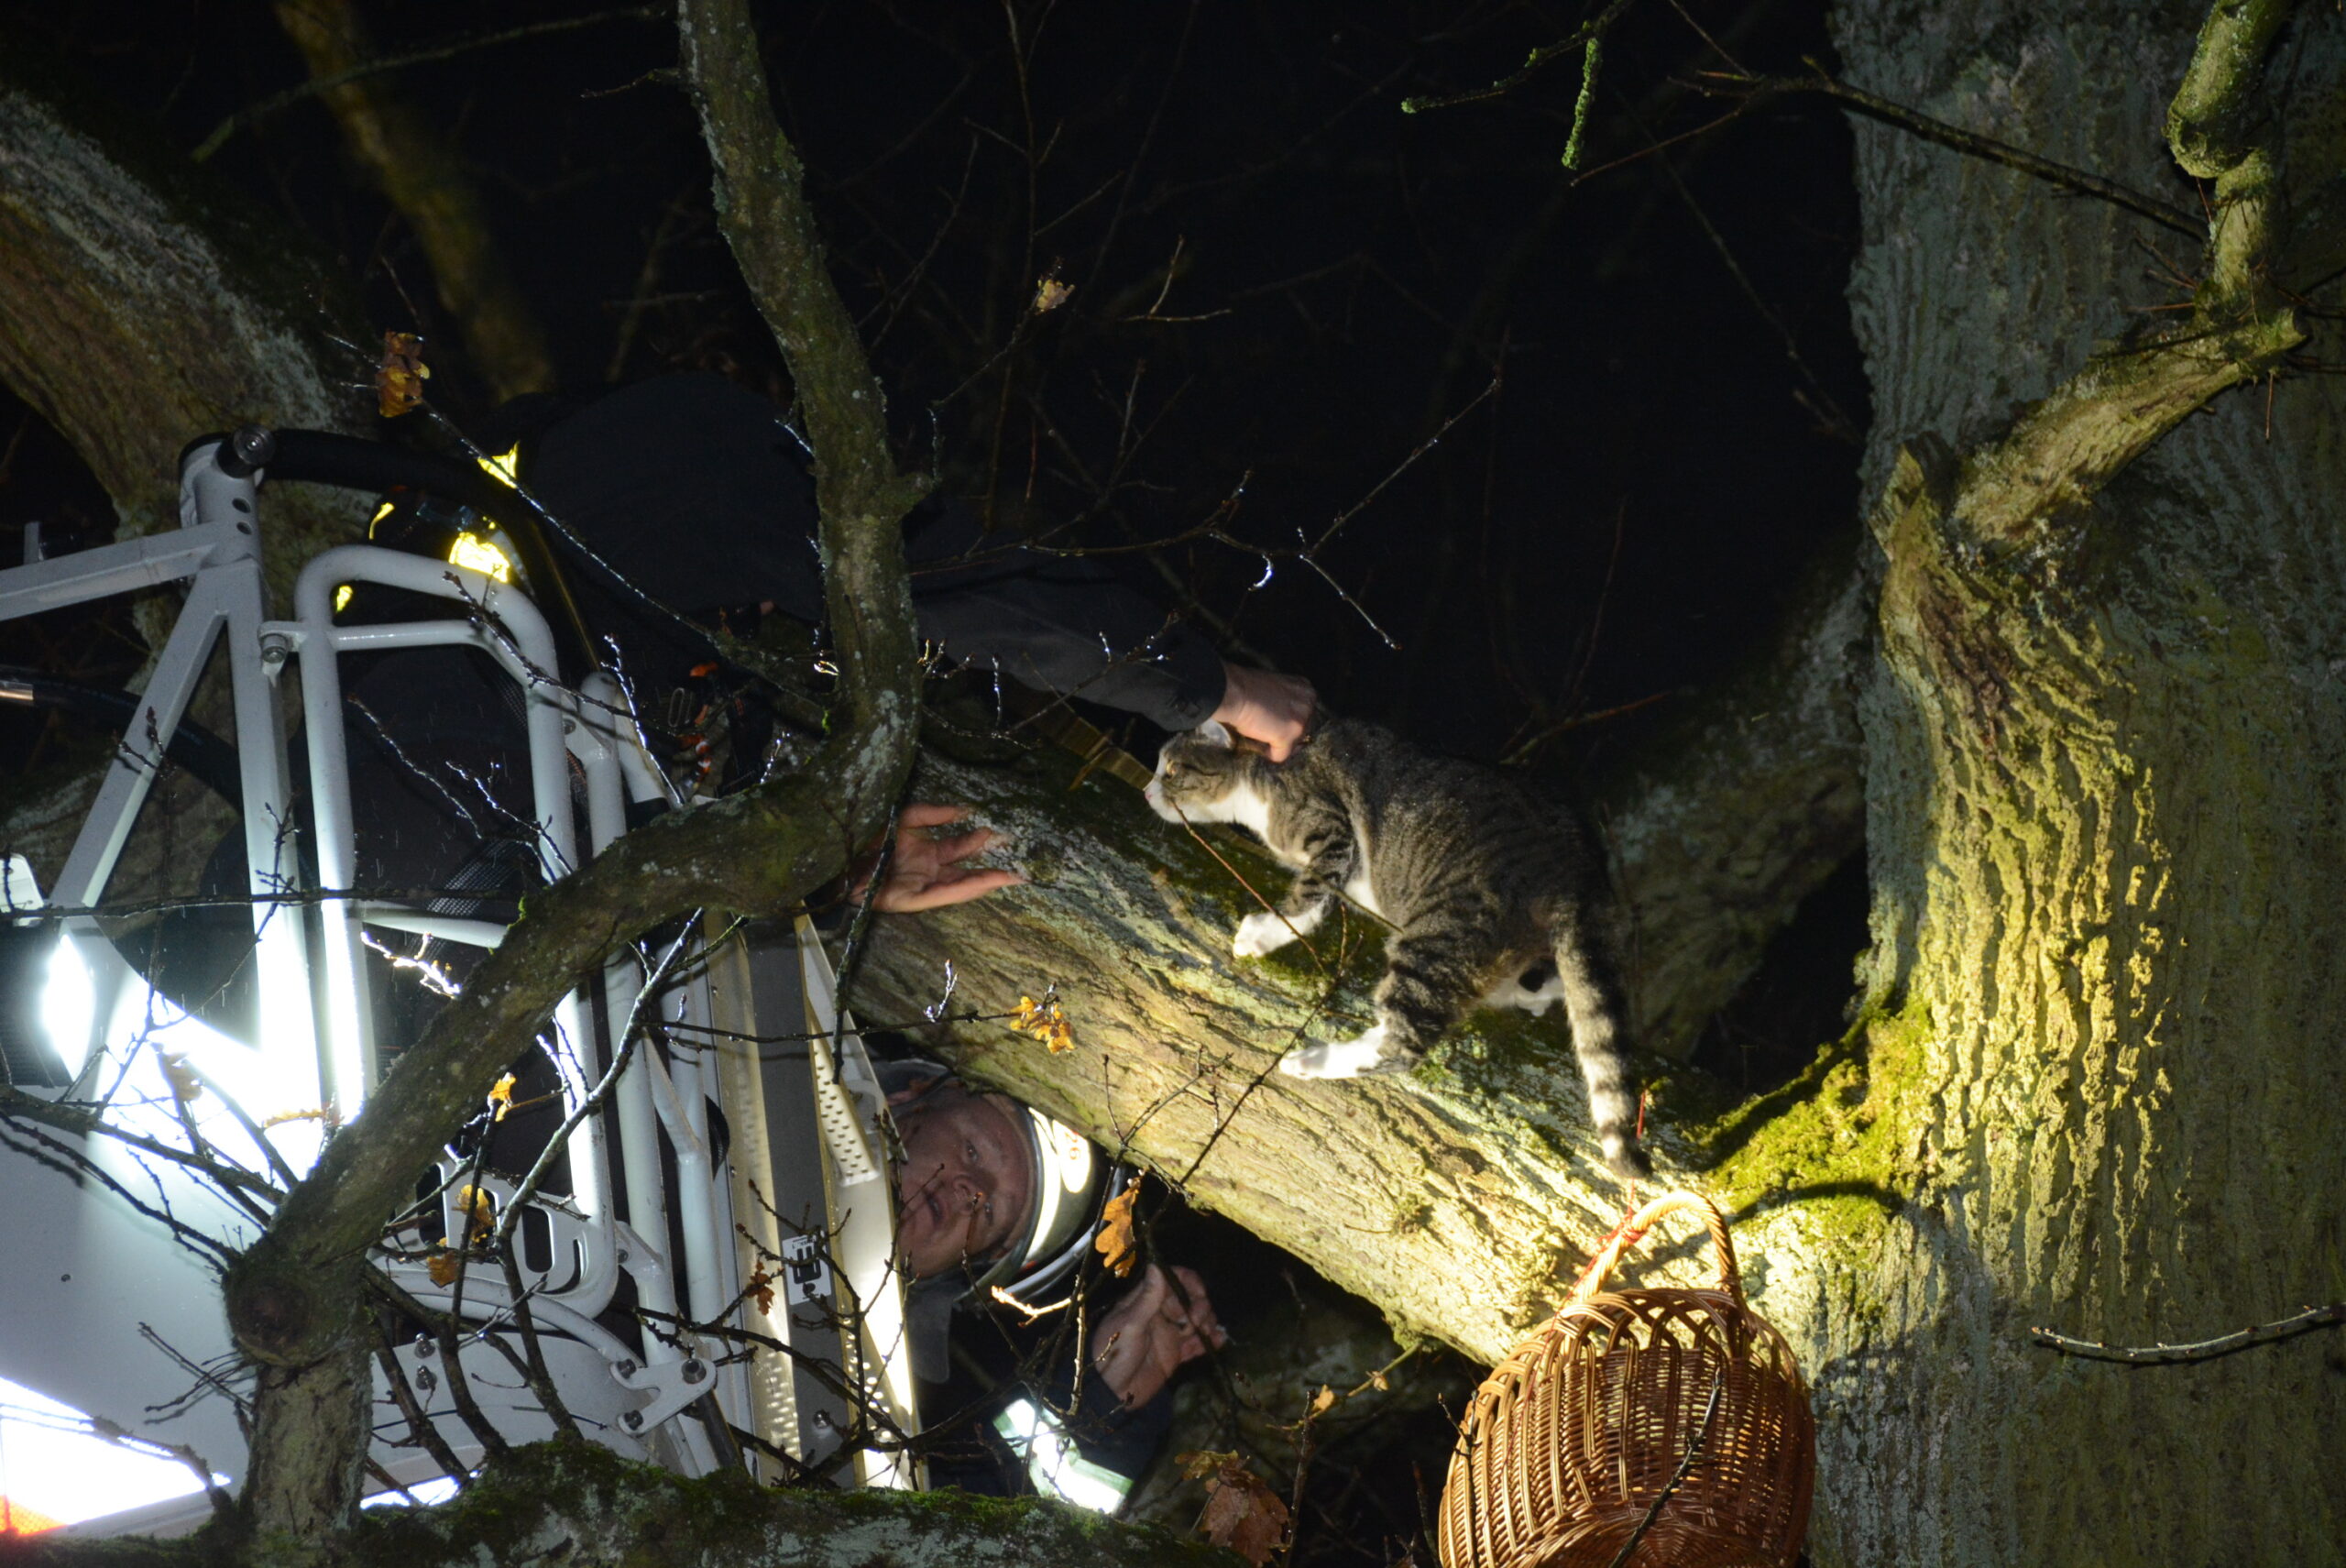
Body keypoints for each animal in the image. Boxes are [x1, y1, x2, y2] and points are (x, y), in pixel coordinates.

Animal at [1145, 718, 1642, 1173]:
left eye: (1171, 768)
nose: (1148, 792)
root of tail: (1574, 871)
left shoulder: (1330, 827)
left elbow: (1310, 898)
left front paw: (1264, 933)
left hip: (1442, 937)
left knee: (1403, 1045)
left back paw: (1314, 1061)